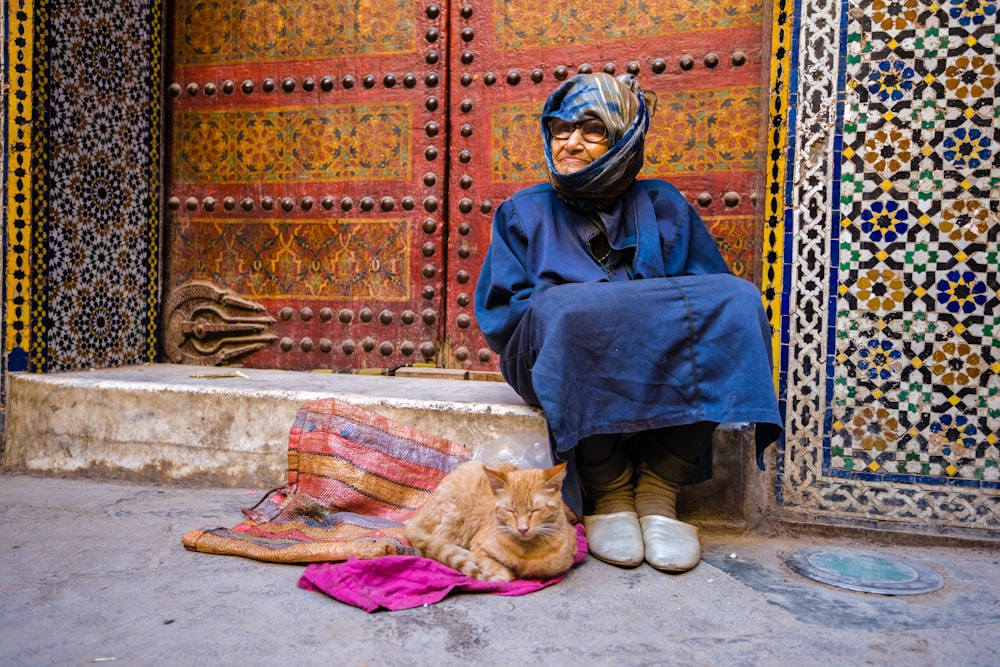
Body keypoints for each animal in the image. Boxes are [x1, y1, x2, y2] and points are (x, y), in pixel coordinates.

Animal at [404, 462, 580, 580]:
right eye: (510, 510)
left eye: (535, 510)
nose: (523, 529)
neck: (526, 555)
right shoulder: (479, 547)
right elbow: (506, 575)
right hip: (453, 518)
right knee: (434, 545)